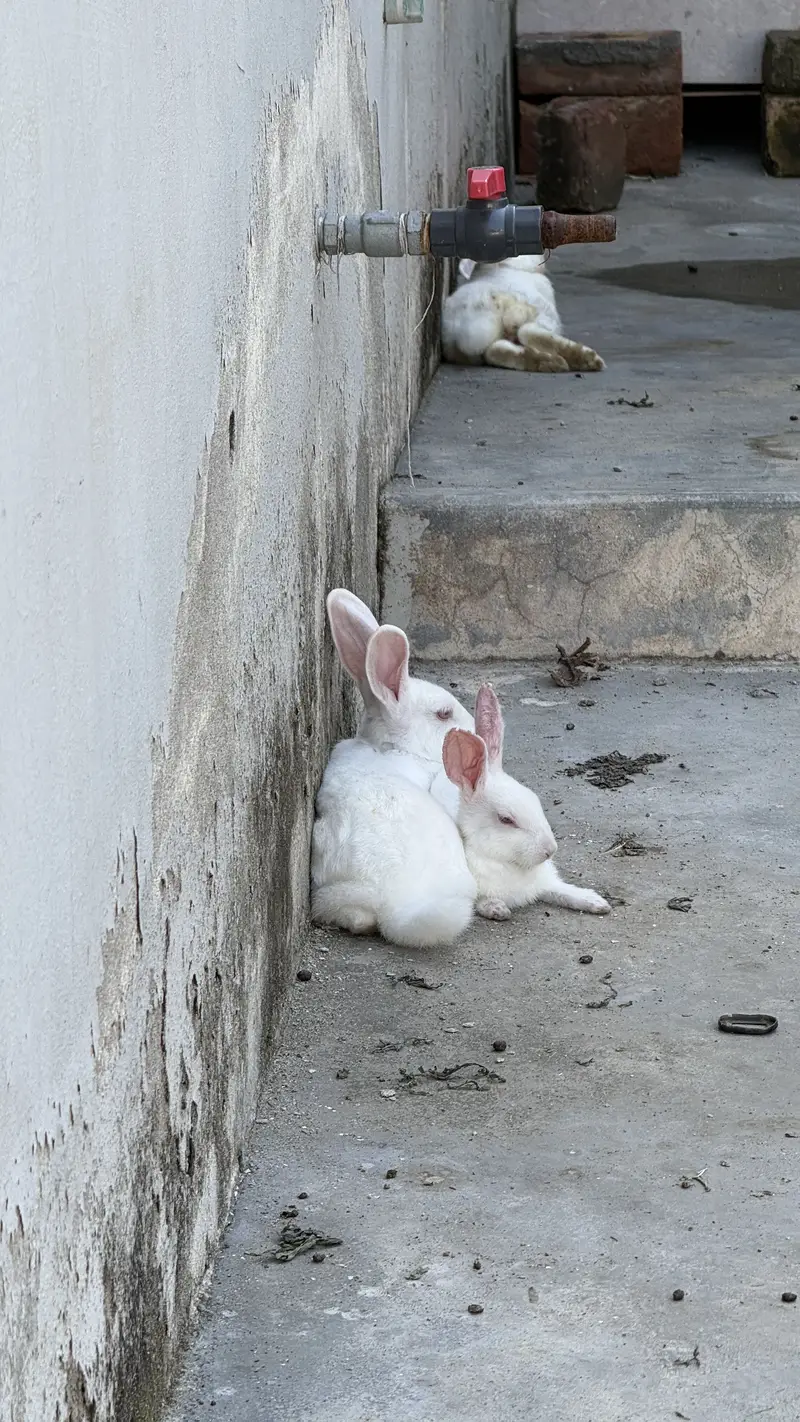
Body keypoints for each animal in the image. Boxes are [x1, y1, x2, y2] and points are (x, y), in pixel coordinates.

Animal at [441, 255, 604, 374]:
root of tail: (460, 330)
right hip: (529, 312)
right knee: (526, 332)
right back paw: (585, 358)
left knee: (495, 350)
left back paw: (549, 362)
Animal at [442, 684, 611, 920]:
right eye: (506, 819)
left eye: (535, 800)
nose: (550, 850)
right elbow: (482, 900)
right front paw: (497, 908)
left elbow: (561, 890)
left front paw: (596, 902)